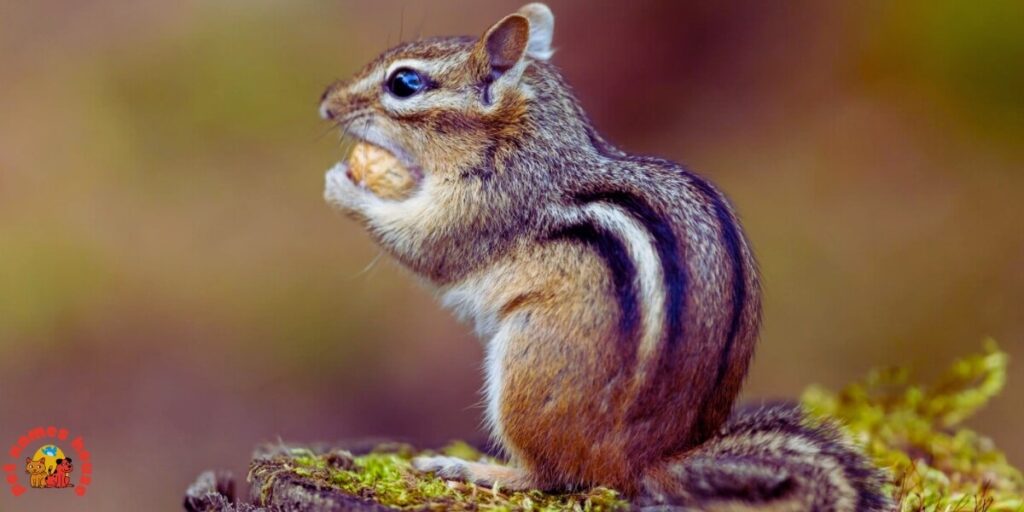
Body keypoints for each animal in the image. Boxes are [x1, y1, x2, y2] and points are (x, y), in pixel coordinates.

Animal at [319, 4, 890, 510]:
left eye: (405, 83)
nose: (326, 102)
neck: (523, 139)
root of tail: (643, 461)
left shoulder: (487, 207)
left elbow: (426, 247)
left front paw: (344, 185)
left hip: (529, 366)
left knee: (551, 476)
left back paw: (473, 468)